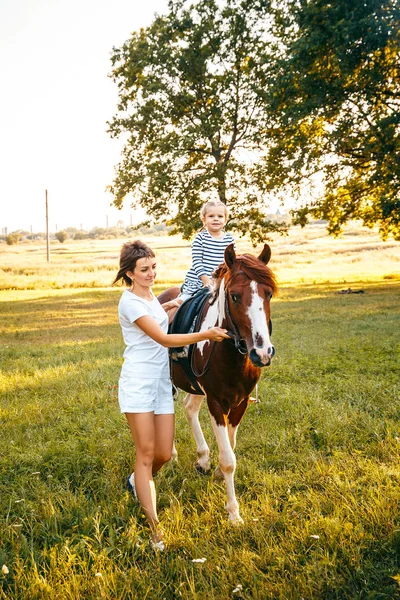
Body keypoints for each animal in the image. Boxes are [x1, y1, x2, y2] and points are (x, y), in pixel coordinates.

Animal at [158, 241, 276, 524]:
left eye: (268, 294)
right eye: (234, 296)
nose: (262, 352)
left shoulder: (240, 403)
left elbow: (230, 448)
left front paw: (217, 474)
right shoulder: (216, 402)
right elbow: (229, 459)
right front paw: (234, 513)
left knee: (189, 408)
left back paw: (202, 458)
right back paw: (173, 456)